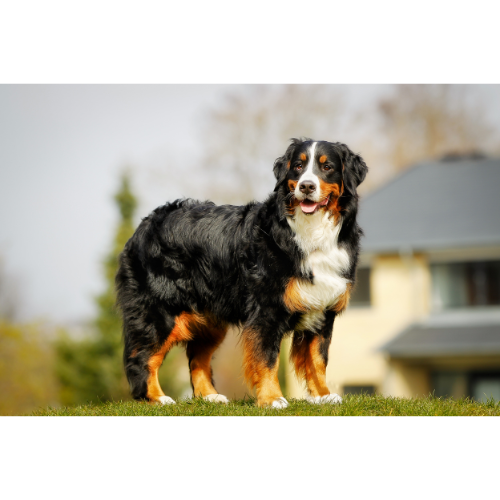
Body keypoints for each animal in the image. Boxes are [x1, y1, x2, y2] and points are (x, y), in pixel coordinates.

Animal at [116, 139, 368, 408]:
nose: (307, 186)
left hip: (210, 319)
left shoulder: (322, 309)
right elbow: (267, 358)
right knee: (142, 358)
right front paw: (272, 398)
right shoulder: (266, 310)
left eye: (327, 167)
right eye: (298, 166)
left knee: (197, 358)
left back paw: (210, 396)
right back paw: (156, 398)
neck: (311, 232)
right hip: (160, 312)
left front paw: (323, 395)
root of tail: (146, 223)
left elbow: (318, 359)